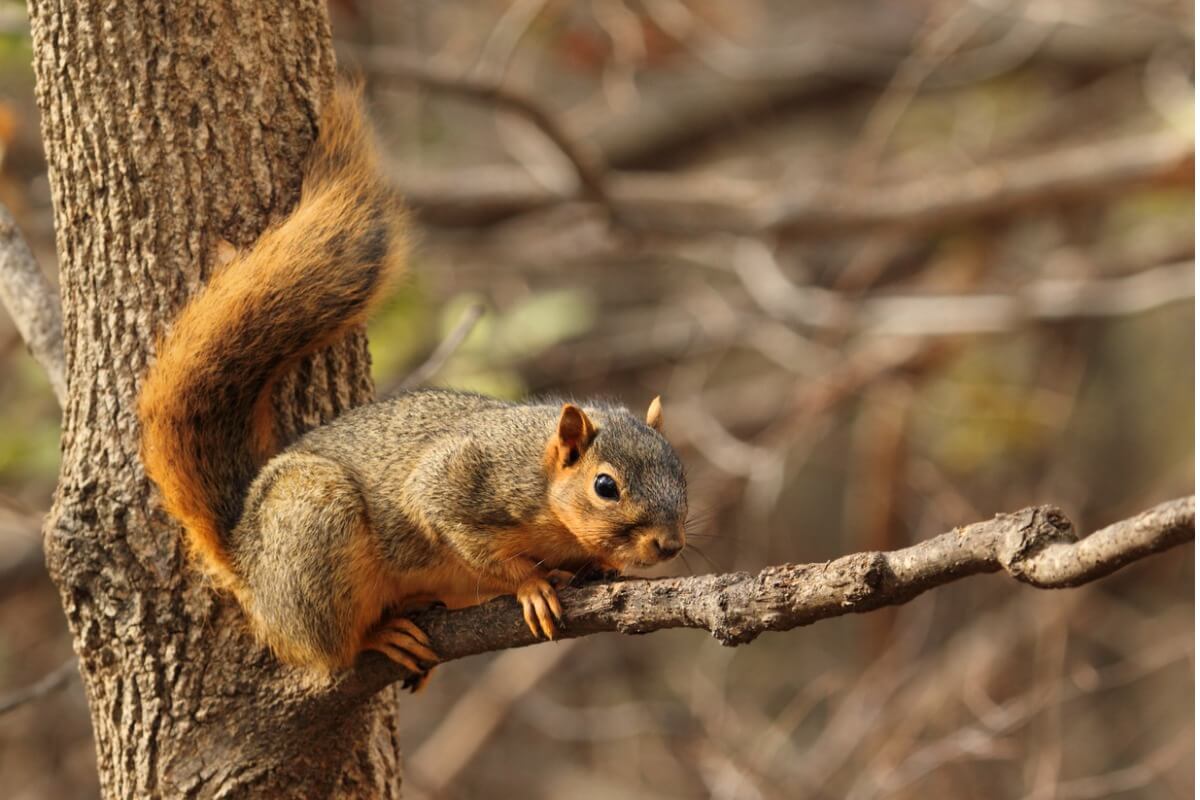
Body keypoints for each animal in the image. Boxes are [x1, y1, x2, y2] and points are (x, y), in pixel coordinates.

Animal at [136, 84, 688, 686]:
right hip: (313, 527)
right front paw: (531, 584)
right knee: (327, 647)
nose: (669, 545)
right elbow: (464, 534)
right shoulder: (462, 480)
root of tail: (246, 559)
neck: (544, 484)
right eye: (605, 486)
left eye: (682, 473)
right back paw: (378, 635)